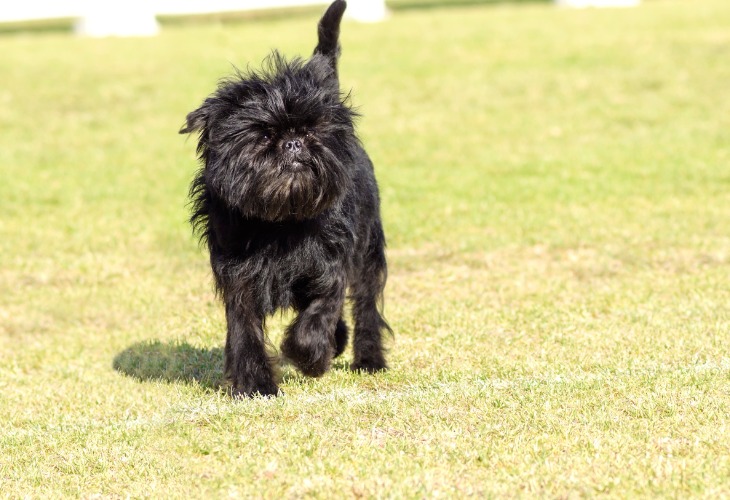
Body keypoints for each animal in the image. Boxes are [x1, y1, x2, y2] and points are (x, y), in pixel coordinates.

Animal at [179, 0, 390, 398]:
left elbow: (319, 315)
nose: (293, 143)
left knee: (366, 303)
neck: (281, 221)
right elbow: (245, 329)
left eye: (311, 130)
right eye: (263, 135)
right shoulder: (238, 277)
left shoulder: (332, 265)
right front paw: (255, 384)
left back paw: (368, 359)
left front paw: (308, 356)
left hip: (368, 248)